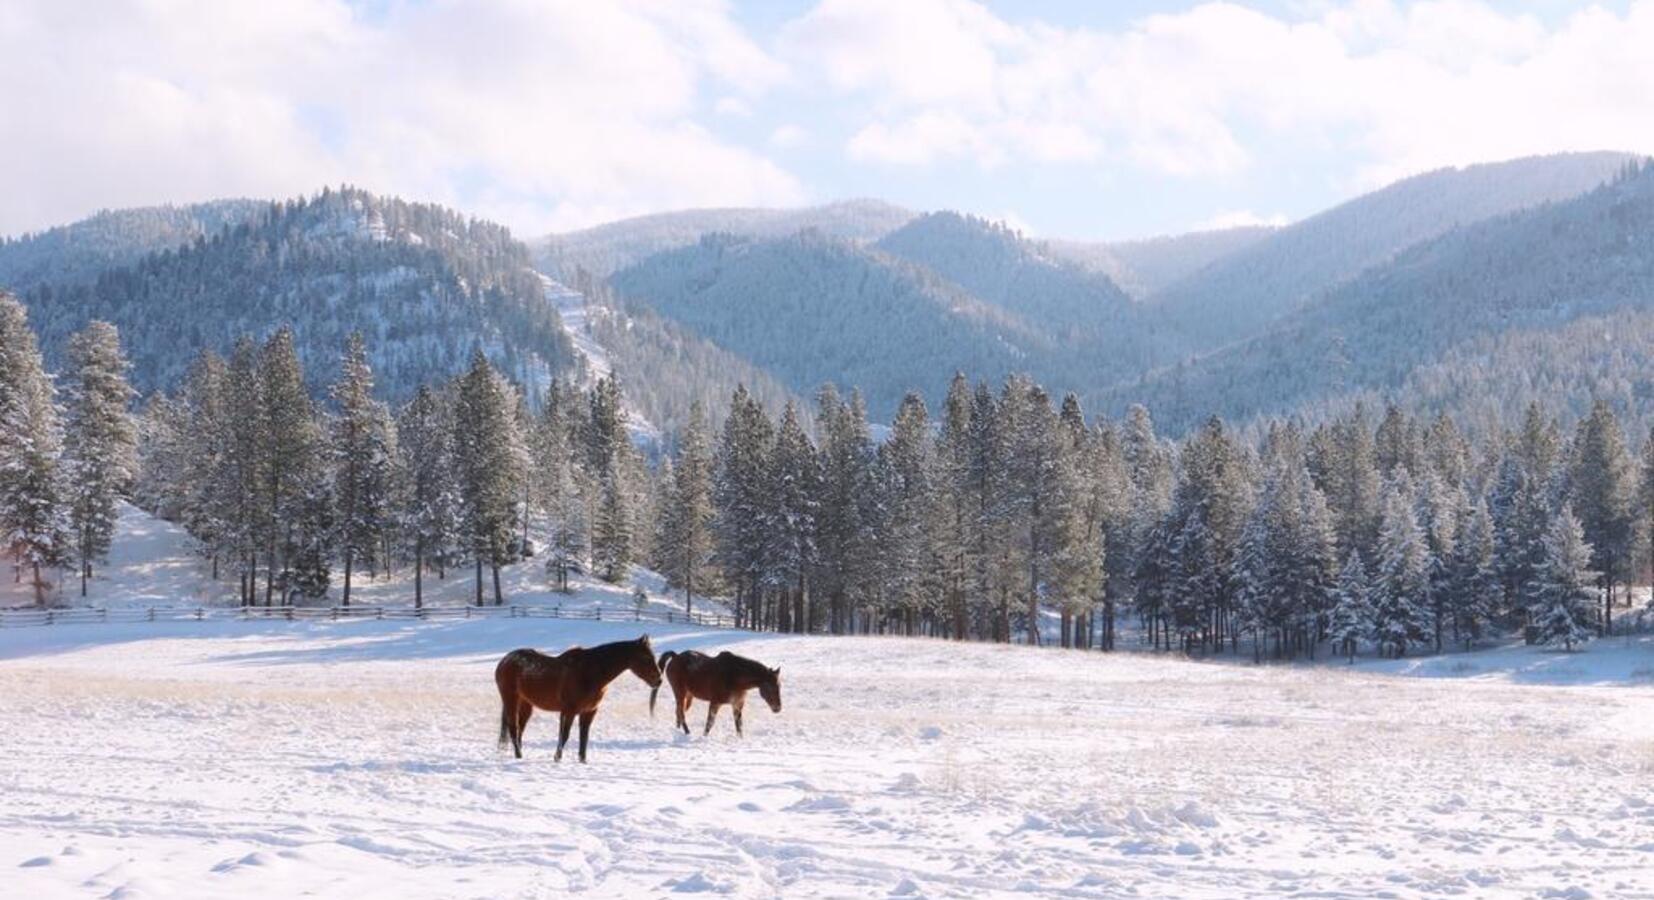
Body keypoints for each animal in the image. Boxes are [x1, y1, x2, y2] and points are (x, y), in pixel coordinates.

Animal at [492, 631, 661, 761]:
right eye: (646, 658)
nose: (658, 680)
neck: (589, 672)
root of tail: (504, 661)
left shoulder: (589, 711)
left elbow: (584, 737)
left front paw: (582, 761)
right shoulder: (569, 711)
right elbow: (565, 735)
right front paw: (557, 758)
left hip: (526, 704)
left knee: (520, 728)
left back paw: (519, 754)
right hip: (511, 700)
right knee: (514, 728)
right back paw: (519, 756)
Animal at [648, 651, 777, 734]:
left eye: (779, 685)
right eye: (770, 687)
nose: (778, 707)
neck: (735, 675)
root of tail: (675, 656)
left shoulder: (737, 704)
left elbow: (739, 726)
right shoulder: (715, 702)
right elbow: (709, 723)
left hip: (688, 696)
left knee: (679, 712)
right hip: (680, 692)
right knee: (680, 712)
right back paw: (687, 732)